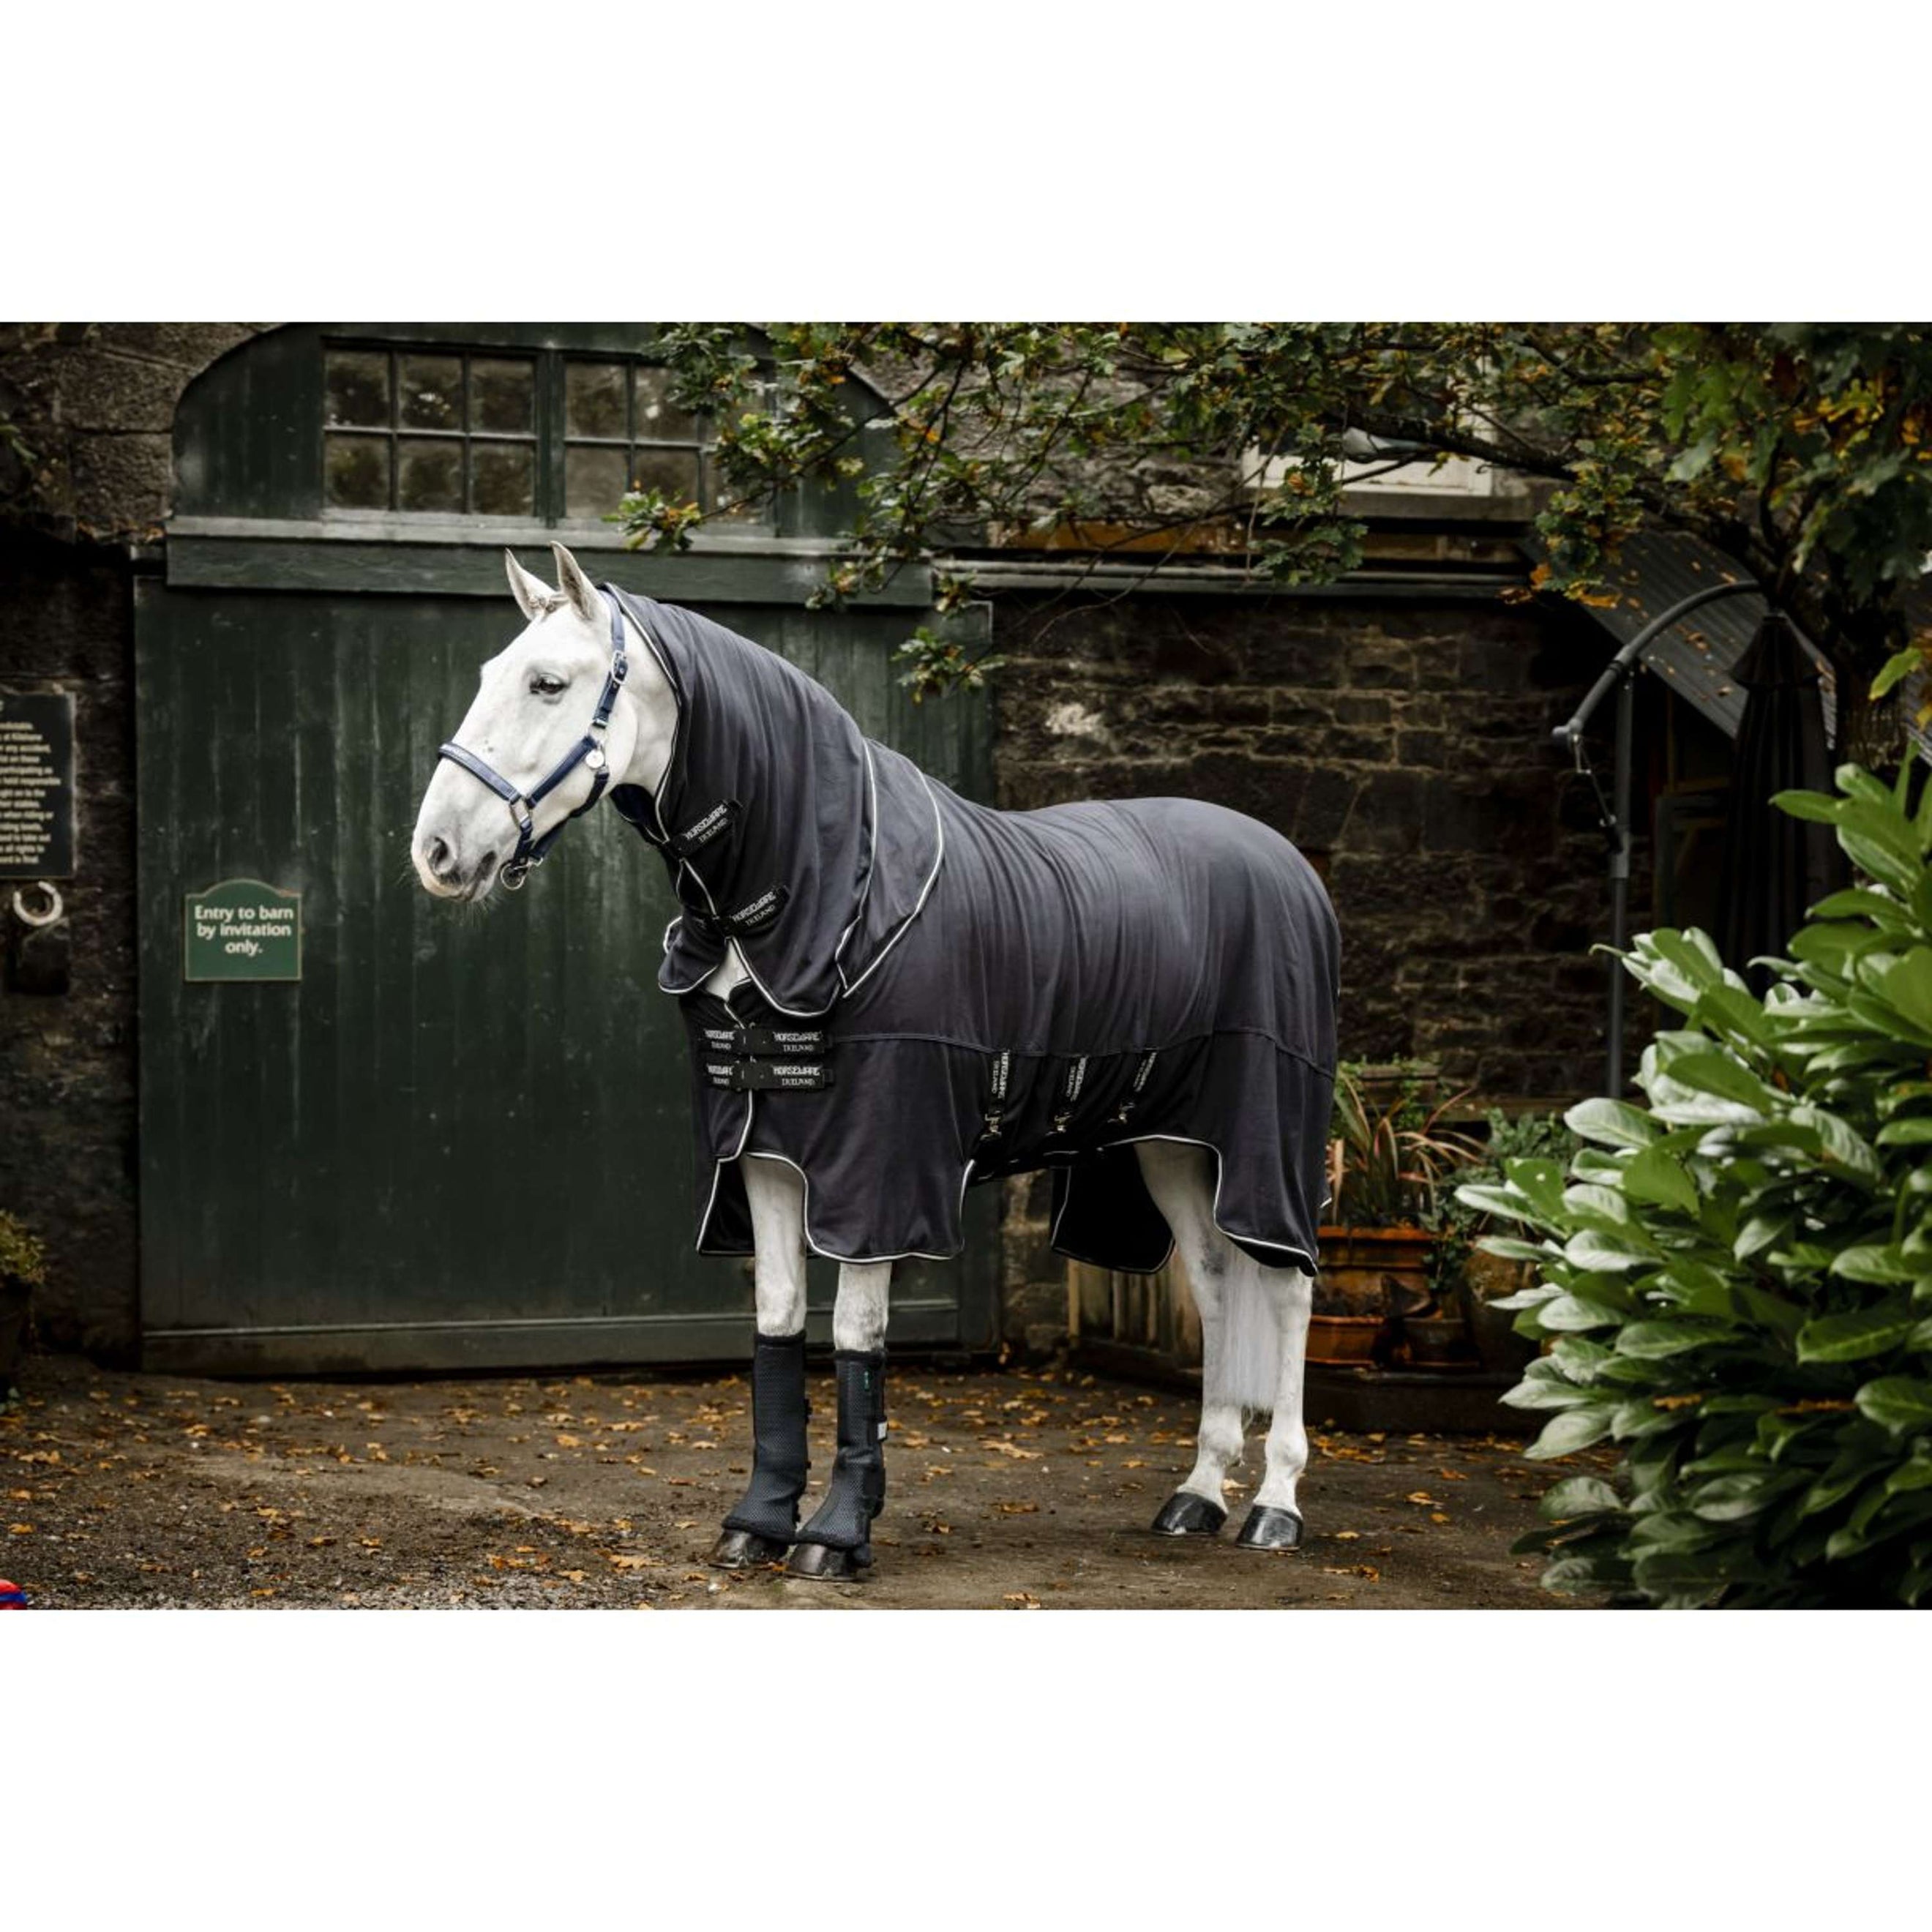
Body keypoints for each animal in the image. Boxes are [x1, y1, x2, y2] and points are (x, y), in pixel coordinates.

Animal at [411, 541, 1339, 1581]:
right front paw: (759, 1522)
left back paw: (1275, 1504)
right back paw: (1197, 1493)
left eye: (548, 682)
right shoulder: (765, 1160)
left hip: (1265, 1145)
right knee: (1218, 1286)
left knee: (1289, 1288)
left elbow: (858, 1340)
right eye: (490, 674)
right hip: (1169, 1146)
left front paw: (837, 1535)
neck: (818, 894)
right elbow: (778, 1326)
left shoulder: (878, 1179)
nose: (437, 850)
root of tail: (1288, 865)